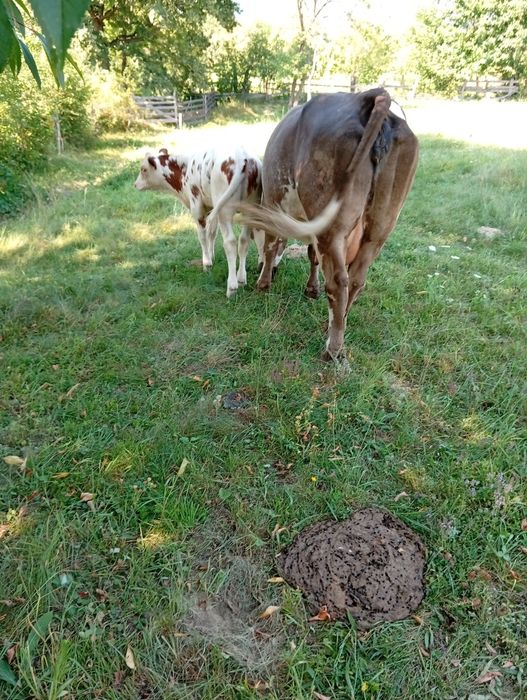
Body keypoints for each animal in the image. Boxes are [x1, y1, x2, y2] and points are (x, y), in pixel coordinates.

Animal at [134, 146, 265, 296]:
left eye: (143, 169)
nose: (135, 185)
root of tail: (242, 156)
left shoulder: (197, 207)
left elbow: (202, 236)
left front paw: (206, 263)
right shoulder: (212, 207)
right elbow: (212, 233)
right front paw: (211, 256)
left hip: (225, 211)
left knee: (230, 243)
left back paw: (232, 287)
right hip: (249, 209)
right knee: (244, 240)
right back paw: (241, 279)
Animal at [238, 88, 419, 361]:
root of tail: (369, 96)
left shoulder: (273, 203)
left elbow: (271, 245)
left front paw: (263, 283)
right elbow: (310, 255)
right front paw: (311, 289)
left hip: (333, 227)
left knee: (338, 282)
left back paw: (332, 348)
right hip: (379, 229)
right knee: (356, 279)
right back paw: (336, 325)